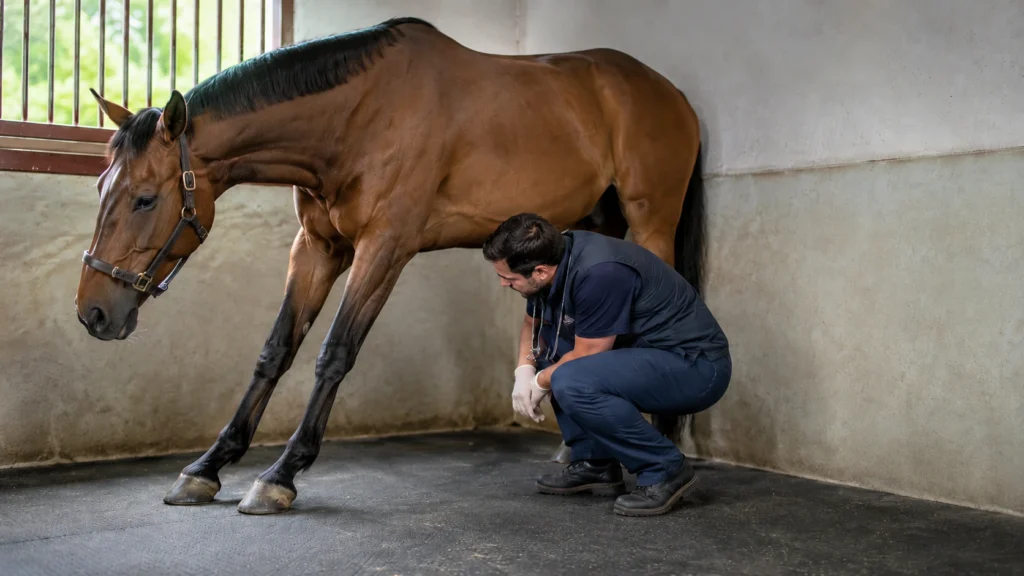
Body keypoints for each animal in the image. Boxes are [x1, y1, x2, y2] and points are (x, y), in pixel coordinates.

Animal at [75, 17, 706, 515]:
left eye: (145, 199)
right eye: (101, 187)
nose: (93, 313)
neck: (357, 117)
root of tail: (669, 91)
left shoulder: (385, 248)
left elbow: (334, 354)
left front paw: (281, 475)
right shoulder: (318, 248)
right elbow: (275, 351)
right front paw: (207, 467)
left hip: (651, 223)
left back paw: (654, 461)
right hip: (598, 225)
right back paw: (584, 458)